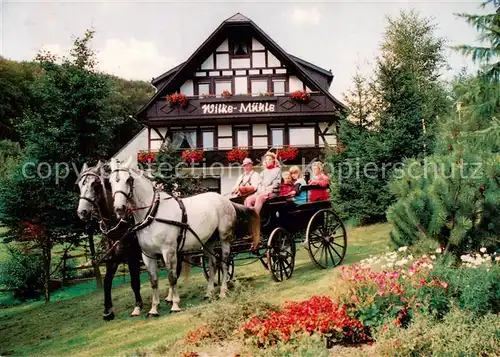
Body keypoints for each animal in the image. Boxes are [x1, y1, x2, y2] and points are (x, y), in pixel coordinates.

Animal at [107, 157, 260, 312]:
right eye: (111, 181)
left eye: (128, 180)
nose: (119, 208)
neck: (153, 214)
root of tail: (226, 200)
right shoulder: (148, 254)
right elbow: (154, 281)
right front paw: (154, 309)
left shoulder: (168, 251)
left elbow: (172, 277)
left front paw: (175, 305)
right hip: (208, 241)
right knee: (212, 264)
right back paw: (209, 293)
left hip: (225, 238)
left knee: (224, 262)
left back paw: (223, 291)